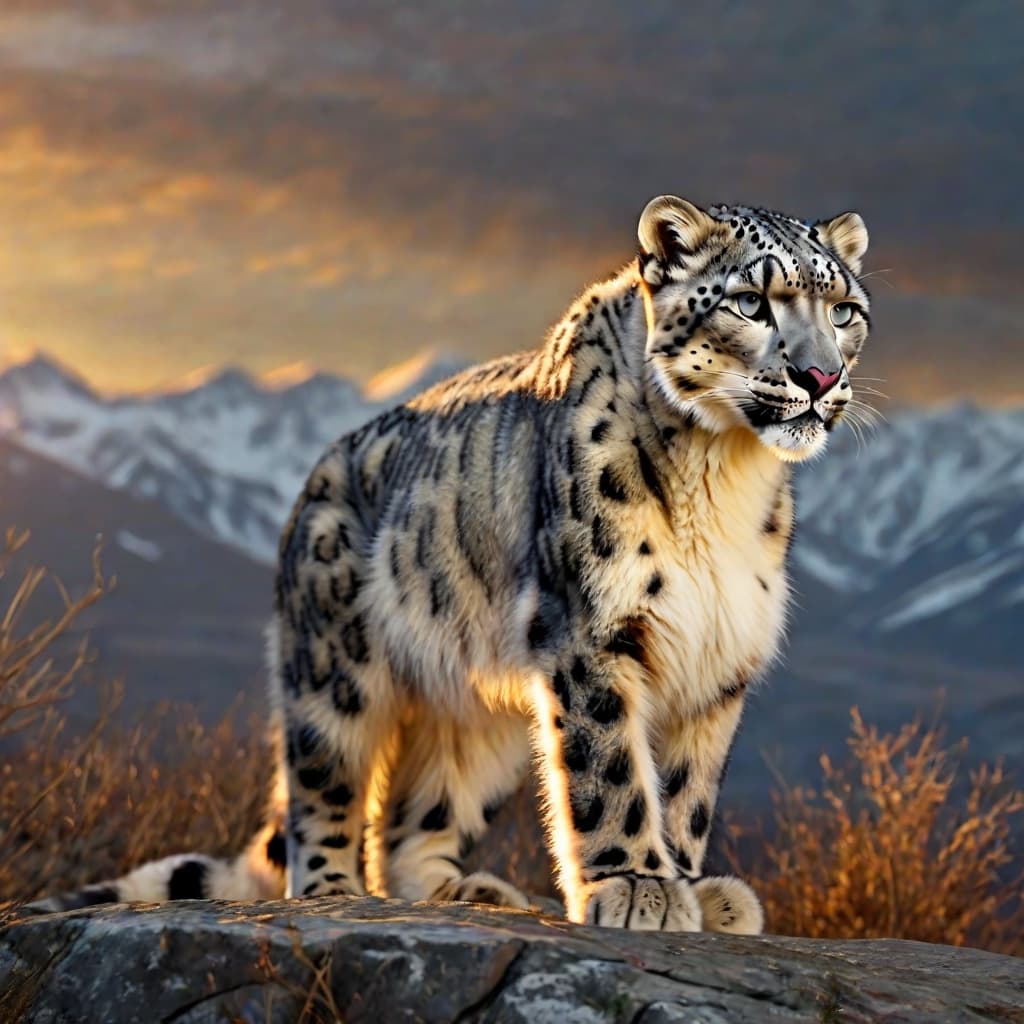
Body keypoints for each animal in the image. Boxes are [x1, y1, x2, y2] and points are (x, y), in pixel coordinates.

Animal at [33, 194, 870, 932]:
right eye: (751, 303)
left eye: (844, 311)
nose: (820, 378)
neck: (722, 474)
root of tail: (312, 482)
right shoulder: (592, 630)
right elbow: (611, 772)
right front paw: (637, 886)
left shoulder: (717, 651)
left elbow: (686, 790)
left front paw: (695, 890)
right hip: (331, 668)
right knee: (323, 788)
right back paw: (337, 892)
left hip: (475, 707)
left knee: (416, 817)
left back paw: (467, 891)